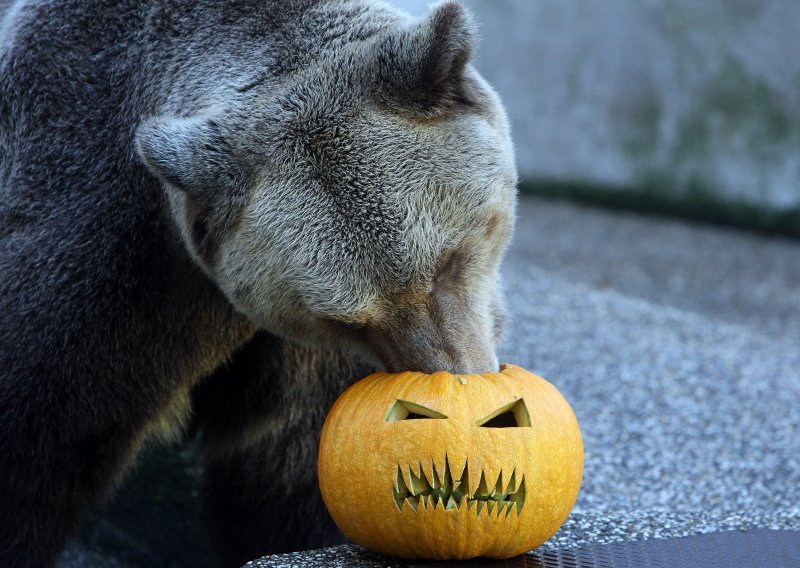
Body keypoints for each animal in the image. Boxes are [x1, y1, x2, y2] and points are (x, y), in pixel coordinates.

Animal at [0, 1, 520, 564]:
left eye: (446, 263)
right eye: (347, 320)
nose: (460, 378)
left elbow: (290, 469)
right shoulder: (104, 257)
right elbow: (42, 434)